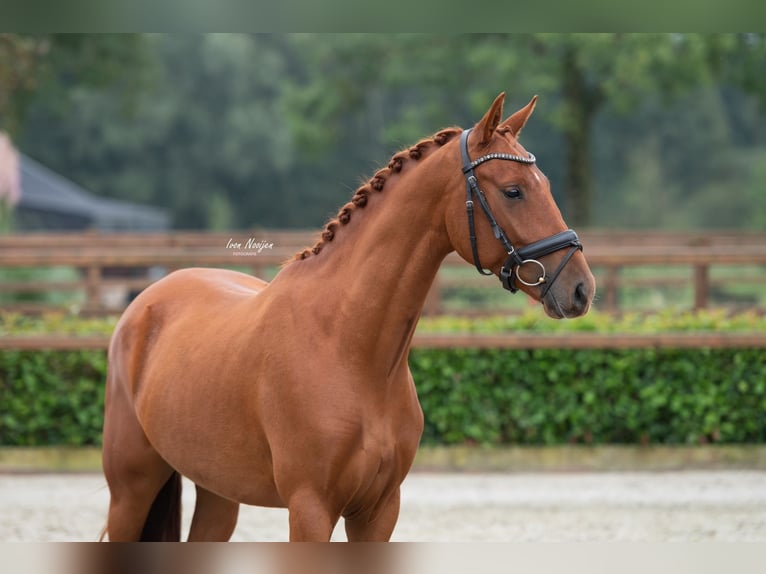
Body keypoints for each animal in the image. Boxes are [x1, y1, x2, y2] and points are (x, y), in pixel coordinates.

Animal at [102, 92, 596, 544]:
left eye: (544, 183)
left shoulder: (379, 510)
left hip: (219, 492)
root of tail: (146, 302)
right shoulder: (310, 508)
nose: (581, 289)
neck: (347, 347)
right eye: (513, 190)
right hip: (130, 490)